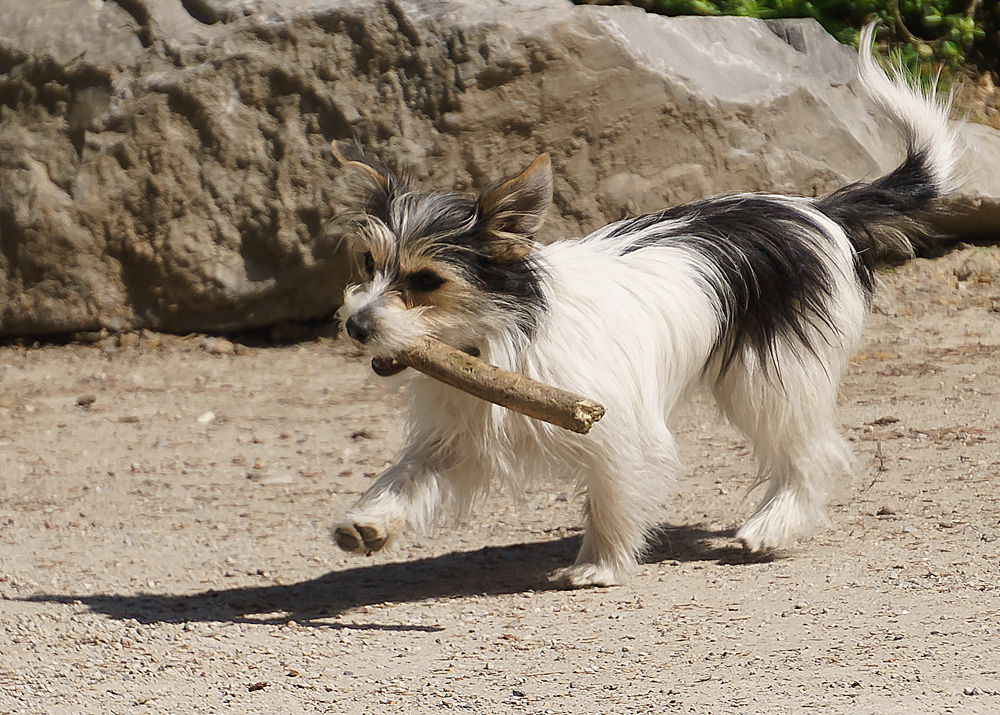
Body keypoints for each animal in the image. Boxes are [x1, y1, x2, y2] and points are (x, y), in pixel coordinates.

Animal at [326, 26, 952, 588]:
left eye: (427, 280)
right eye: (368, 264)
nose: (355, 325)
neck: (499, 338)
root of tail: (817, 209)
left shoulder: (618, 427)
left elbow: (613, 493)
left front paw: (601, 564)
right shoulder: (460, 433)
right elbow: (410, 475)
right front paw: (369, 523)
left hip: (772, 377)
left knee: (811, 451)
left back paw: (772, 527)